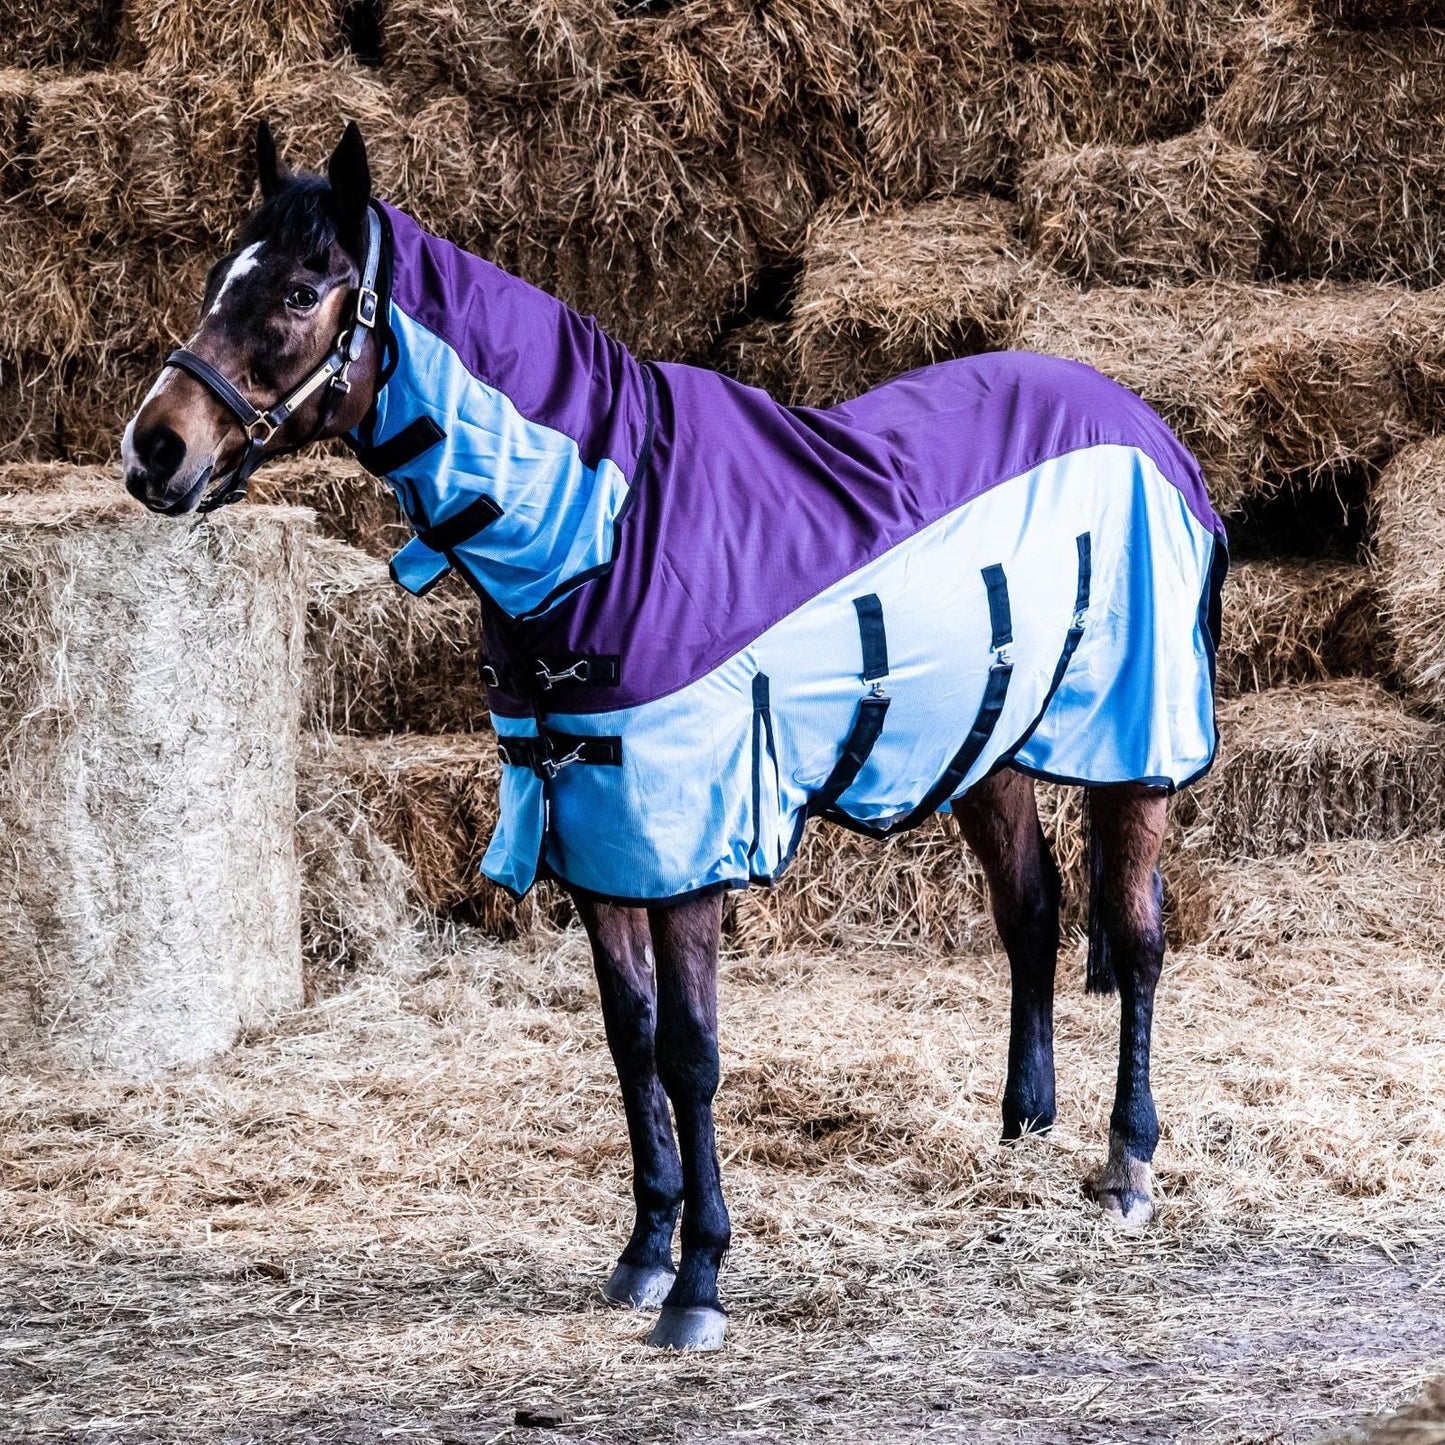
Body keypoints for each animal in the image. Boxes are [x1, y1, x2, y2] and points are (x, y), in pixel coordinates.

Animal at [122, 121, 1227, 1352]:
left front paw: (698, 1281)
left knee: (1135, 936)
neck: (603, 525)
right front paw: (643, 1252)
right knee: (1030, 910)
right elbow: (630, 1037)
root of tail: (1144, 425)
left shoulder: (683, 843)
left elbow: (691, 1053)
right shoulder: (595, 835)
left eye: (301, 290)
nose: (153, 450)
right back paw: (1021, 1123)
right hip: (982, 748)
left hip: (1136, 743)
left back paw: (1127, 1164)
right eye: (219, 276)